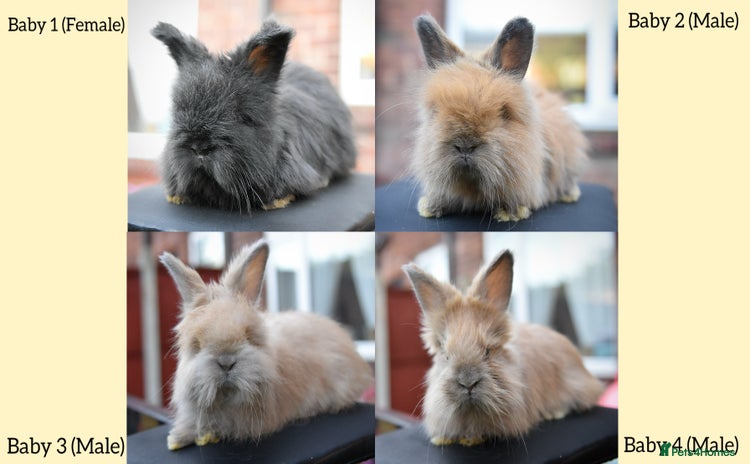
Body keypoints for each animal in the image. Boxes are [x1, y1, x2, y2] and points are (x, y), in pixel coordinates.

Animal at [411, 15, 588, 222]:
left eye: (504, 113)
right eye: (436, 110)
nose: (465, 147)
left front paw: (509, 213)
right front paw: (429, 207)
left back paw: (569, 195)